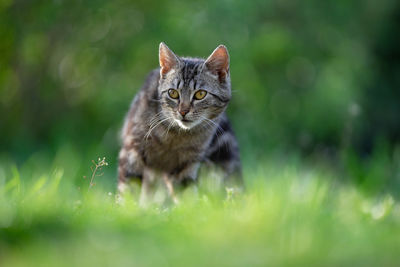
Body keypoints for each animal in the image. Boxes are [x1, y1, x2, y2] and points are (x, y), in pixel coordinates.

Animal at [117, 42, 242, 205]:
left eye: (200, 94)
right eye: (173, 93)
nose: (183, 111)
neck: (175, 136)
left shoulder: (186, 165)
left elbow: (187, 196)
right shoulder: (132, 152)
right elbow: (128, 190)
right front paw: (126, 209)